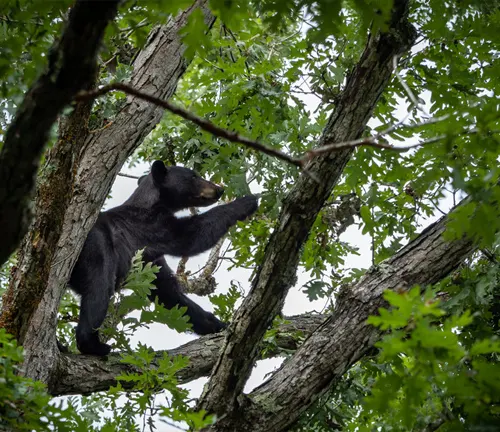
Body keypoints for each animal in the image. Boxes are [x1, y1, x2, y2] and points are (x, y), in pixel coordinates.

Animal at [69, 160, 258, 356]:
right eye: (193, 176)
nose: (219, 189)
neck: (153, 202)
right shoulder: (150, 227)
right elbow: (190, 235)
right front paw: (247, 202)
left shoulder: (150, 262)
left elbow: (170, 295)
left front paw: (220, 324)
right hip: (97, 248)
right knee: (98, 288)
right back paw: (94, 345)